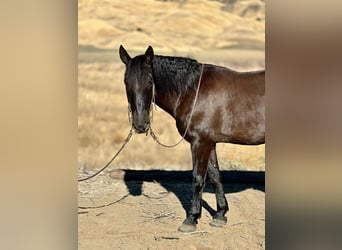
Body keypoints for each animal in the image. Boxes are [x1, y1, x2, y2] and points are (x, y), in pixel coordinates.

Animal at [119, 45, 266, 232]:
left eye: (150, 81)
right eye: (126, 81)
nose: (140, 124)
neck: (193, 91)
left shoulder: (200, 143)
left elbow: (197, 178)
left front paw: (191, 219)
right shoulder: (210, 143)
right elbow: (215, 175)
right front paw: (220, 215)